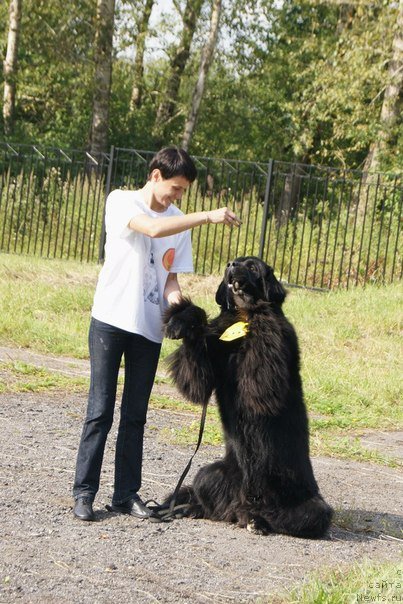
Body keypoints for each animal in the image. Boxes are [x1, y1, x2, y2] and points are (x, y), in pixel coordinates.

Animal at [163, 255, 332, 536]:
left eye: (252, 266)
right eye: (234, 261)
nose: (231, 265)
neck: (242, 315)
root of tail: (242, 506)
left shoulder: (270, 358)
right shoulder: (207, 361)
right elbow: (196, 375)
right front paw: (180, 321)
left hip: (312, 506)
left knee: (287, 518)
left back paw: (257, 522)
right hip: (210, 474)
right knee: (212, 499)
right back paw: (192, 508)